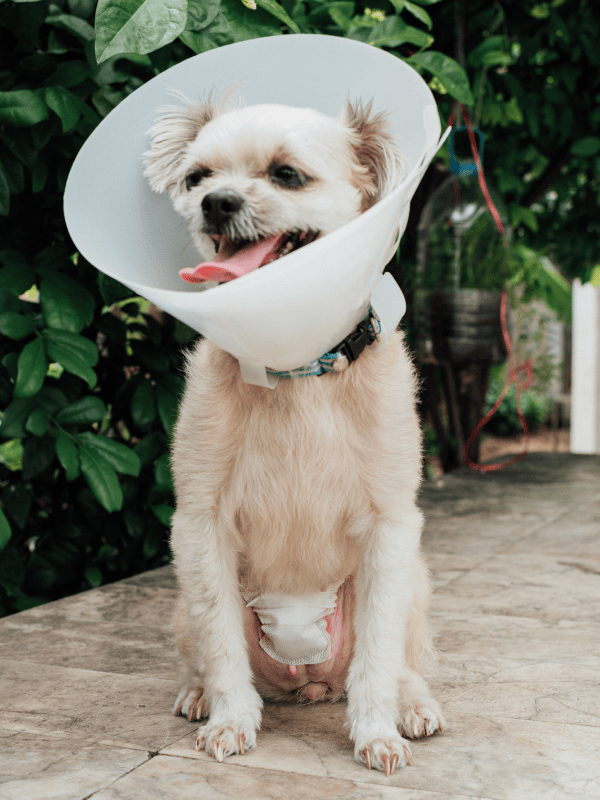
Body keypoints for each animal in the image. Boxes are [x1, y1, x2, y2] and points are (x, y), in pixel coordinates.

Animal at [144, 94, 446, 776]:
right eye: (197, 177)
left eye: (286, 174)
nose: (215, 203)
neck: (298, 371)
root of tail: (308, 680)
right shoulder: (201, 529)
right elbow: (223, 644)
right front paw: (230, 719)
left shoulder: (391, 530)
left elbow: (378, 657)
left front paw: (375, 731)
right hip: (180, 606)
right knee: (206, 651)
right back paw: (201, 694)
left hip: (415, 583)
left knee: (403, 663)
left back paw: (412, 706)